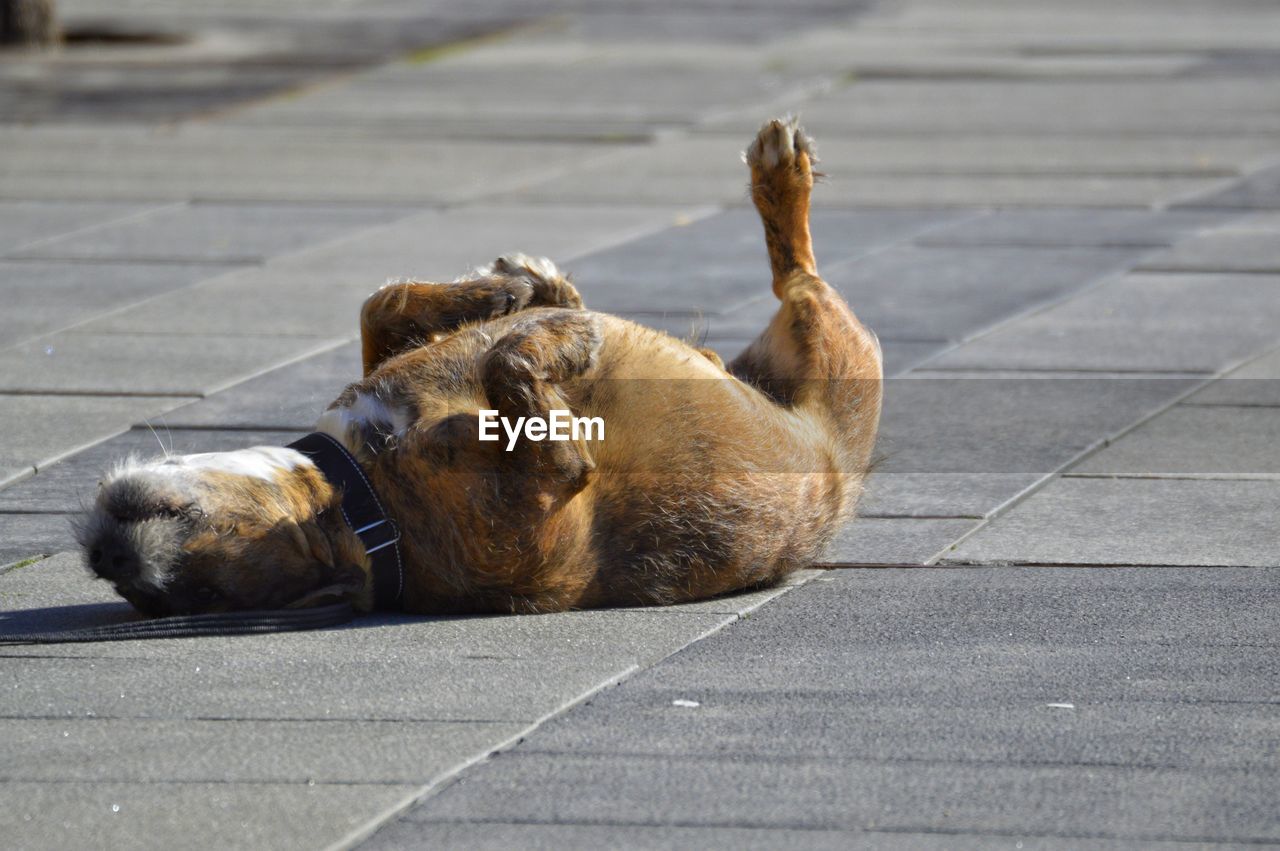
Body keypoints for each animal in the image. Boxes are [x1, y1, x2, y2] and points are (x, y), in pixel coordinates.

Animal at [77, 116, 880, 614]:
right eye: (185, 596)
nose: (112, 559)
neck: (359, 500)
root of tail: (843, 472)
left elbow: (382, 306)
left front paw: (512, 291)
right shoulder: (548, 483)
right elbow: (509, 370)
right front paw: (559, 330)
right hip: (835, 344)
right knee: (798, 275)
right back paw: (780, 177)